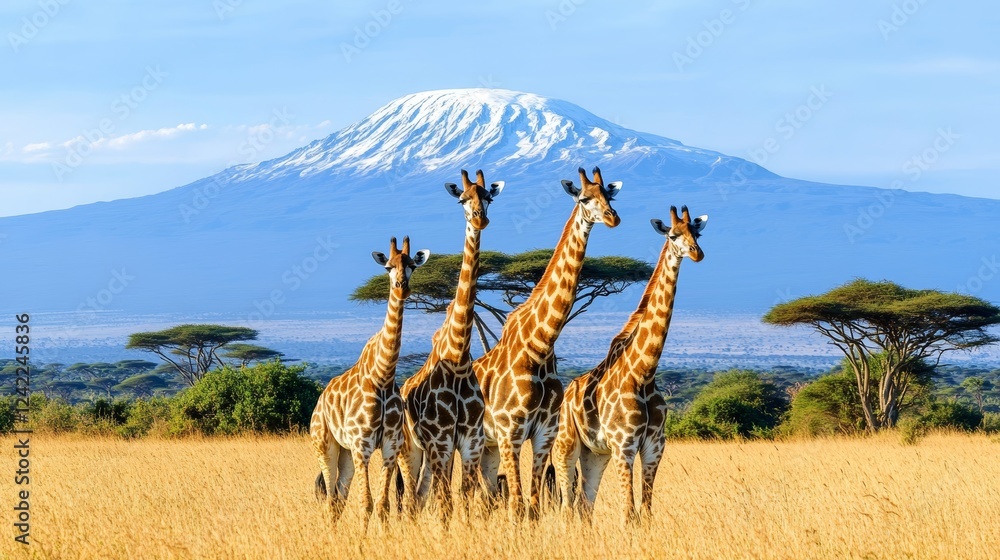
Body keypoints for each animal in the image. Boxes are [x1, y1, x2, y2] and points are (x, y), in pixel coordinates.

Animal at [310, 236, 429, 522]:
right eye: (388, 267)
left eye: (412, 265)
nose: (401, 287)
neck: (383, 376)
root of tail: (320, 401)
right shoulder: (362, 445)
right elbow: (366, 502)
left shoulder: (389, 446)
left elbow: (383, 504)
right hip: (325, 444)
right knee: (330, 498)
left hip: (345, 452)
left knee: (339, 498)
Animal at [397, 169, 504, 522]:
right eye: (462, 199)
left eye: (489, 196)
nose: (480, 218)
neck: (457, 358)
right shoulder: (442, 440)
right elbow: (445, 501)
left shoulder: (471, 440)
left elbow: (465, 495)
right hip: (412, 448)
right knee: (413, 497)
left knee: (422, 494)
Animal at [473, 166, 622, 520]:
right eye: (584, 199)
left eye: (610, 196)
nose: (613, 218)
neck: (539, 347)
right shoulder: (510, 432)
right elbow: (517, 505)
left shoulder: (544, 434)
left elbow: (534, 505)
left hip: (487, 446)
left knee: (483, 496)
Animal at [551, 205, 707, 523]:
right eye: (673, 235)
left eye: (696, 234)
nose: (697, 253)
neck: (643, 372)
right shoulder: (624, 445)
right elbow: (628, 513)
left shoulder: (654, 447)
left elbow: (646, 512)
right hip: (566, 444)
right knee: (567, 506)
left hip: (595, 453)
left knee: (585, 504)